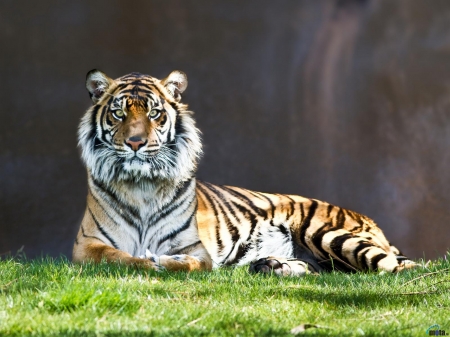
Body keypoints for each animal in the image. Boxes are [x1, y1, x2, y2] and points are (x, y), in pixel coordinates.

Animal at [72, 69, 416, 276]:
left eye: (154, 113)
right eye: (118, 113)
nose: (135, 142)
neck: (141, 185)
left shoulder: (197, 249)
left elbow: (188, 264)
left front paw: (164, 261)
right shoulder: (86, 247)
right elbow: (121, 258)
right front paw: (148, 261)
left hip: (329, 233)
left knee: (400, 268)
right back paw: (271, 265)